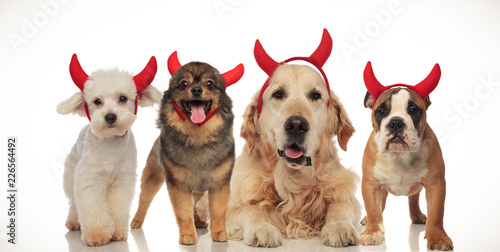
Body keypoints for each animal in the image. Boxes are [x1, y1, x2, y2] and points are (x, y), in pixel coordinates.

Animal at [57, 53, 161, 246]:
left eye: (123, 98)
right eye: (97, 101)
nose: (110, 116)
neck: (110, 146)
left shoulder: (122, 182)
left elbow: (118, 208)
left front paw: (117, 233)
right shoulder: (89, 180)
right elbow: (92, 208)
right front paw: (97, 235)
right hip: (71, 175)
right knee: (74, 202)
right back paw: (74, 223)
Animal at [130, 58, 241, 245]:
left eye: (209, 83)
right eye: (184, 84)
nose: (196, 89)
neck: (198, 138)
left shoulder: (219, 184)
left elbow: (218, 212)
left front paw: (219, 233)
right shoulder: (178, 185)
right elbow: (183, 212)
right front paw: (188, 235)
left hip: (198, 189)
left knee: (194, 203)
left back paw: (199, 221)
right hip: (153, 177)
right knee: (144, 200)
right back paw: (136, 221)